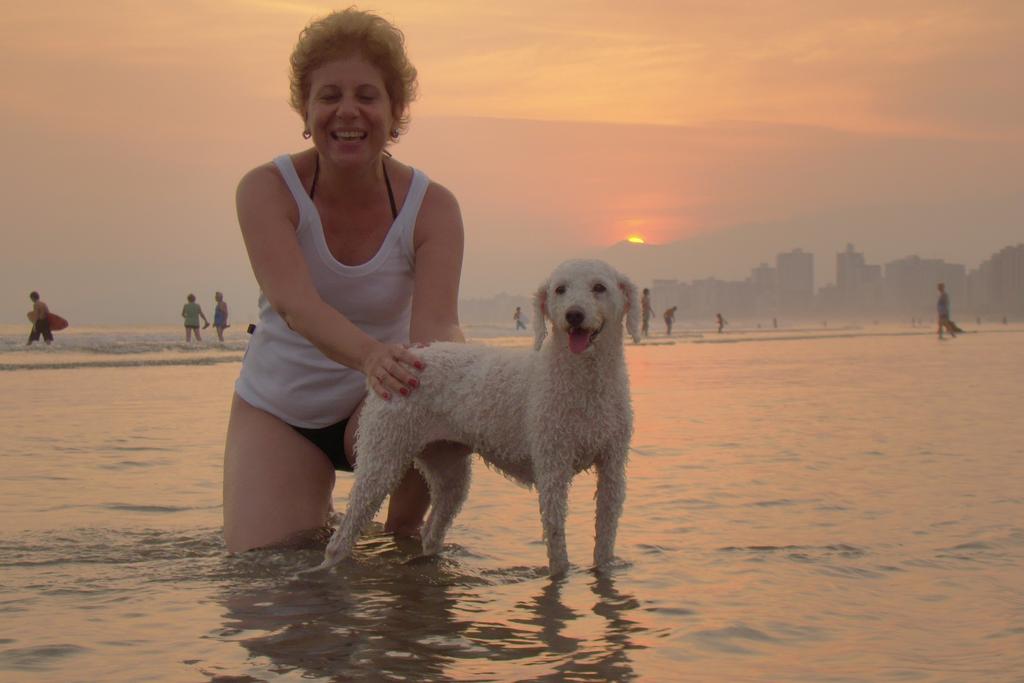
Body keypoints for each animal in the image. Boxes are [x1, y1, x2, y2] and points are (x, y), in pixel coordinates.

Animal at [309, 259, 640, 576]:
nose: (574, 315)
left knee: (433, 528)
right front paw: (560, 576)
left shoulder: (612, 466)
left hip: (447, 468)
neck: (584, 382)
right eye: (560, 290)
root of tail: (401, 359)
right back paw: (324, 569)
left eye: (599, 287)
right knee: (343, 535)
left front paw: (604, 573)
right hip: (383, 455)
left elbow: (606, 535)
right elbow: (557, 544)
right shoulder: (553, 466)